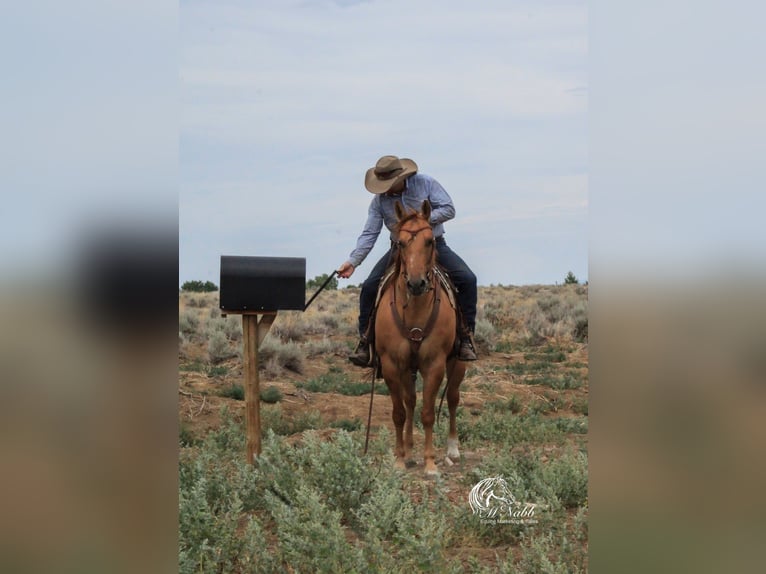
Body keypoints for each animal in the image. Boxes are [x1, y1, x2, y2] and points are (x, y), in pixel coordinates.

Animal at [374, 200, 464, 480]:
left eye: (430, 241)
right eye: (401, 243)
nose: (416, 284)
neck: (414, 309)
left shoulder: (433, 364)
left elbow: (427, 414)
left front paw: (430, 463)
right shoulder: (392, 365)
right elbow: (399, 412)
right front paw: (400, 459)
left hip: (458, 362)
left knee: (453, 397)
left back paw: (452, 449)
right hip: (407, 369)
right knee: (410, 401)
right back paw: (409, 451)